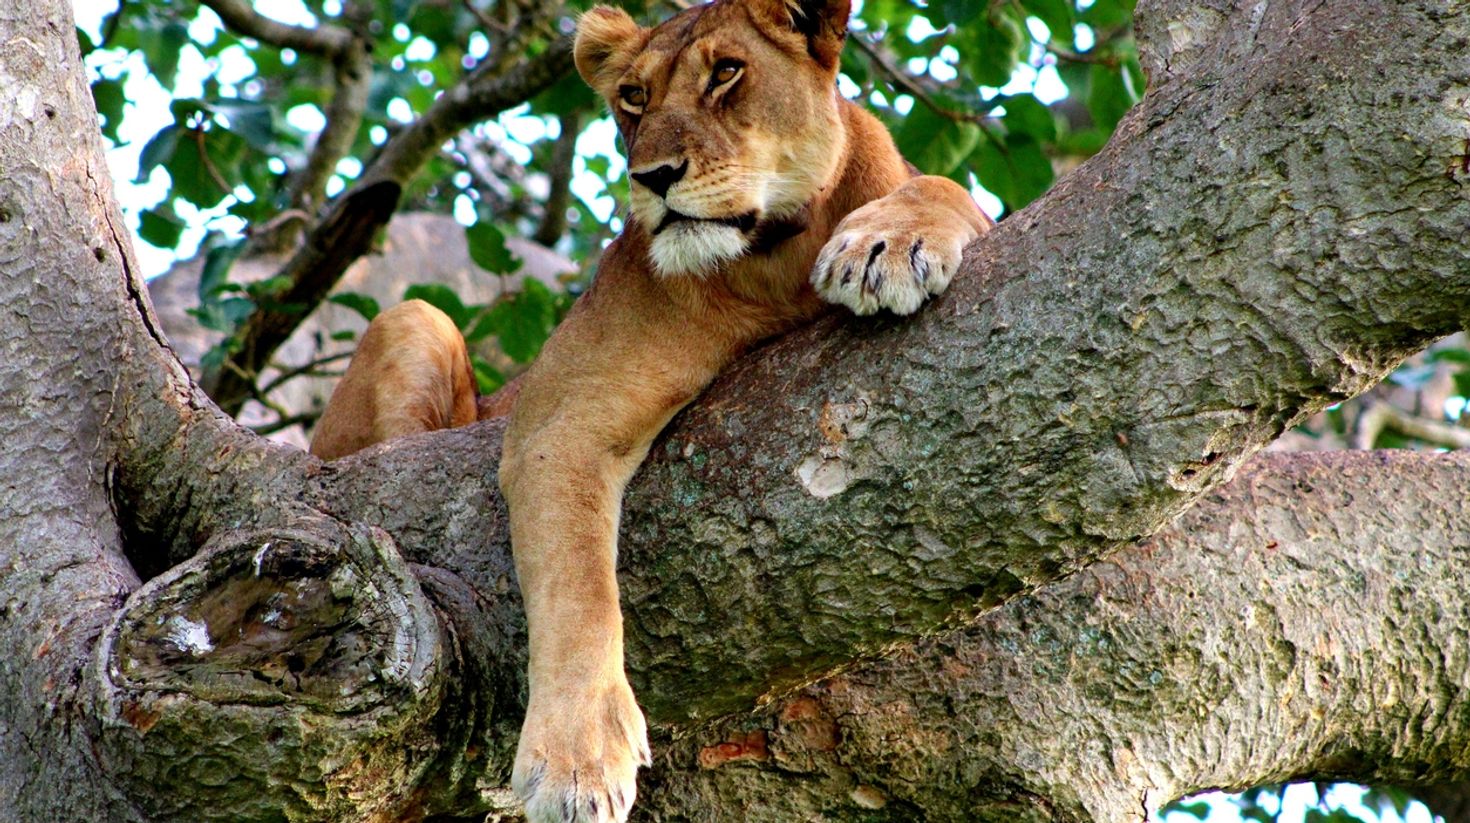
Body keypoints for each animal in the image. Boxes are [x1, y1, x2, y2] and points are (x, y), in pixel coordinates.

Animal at [310, 0, 992, 820]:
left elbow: (945, 186)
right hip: (415, 318)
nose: (653, 177)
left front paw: (887, 243)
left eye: (726, 72)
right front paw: (576, 761)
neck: (775, 260)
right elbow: (578, 591)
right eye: (633, 98)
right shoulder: (558, 424)